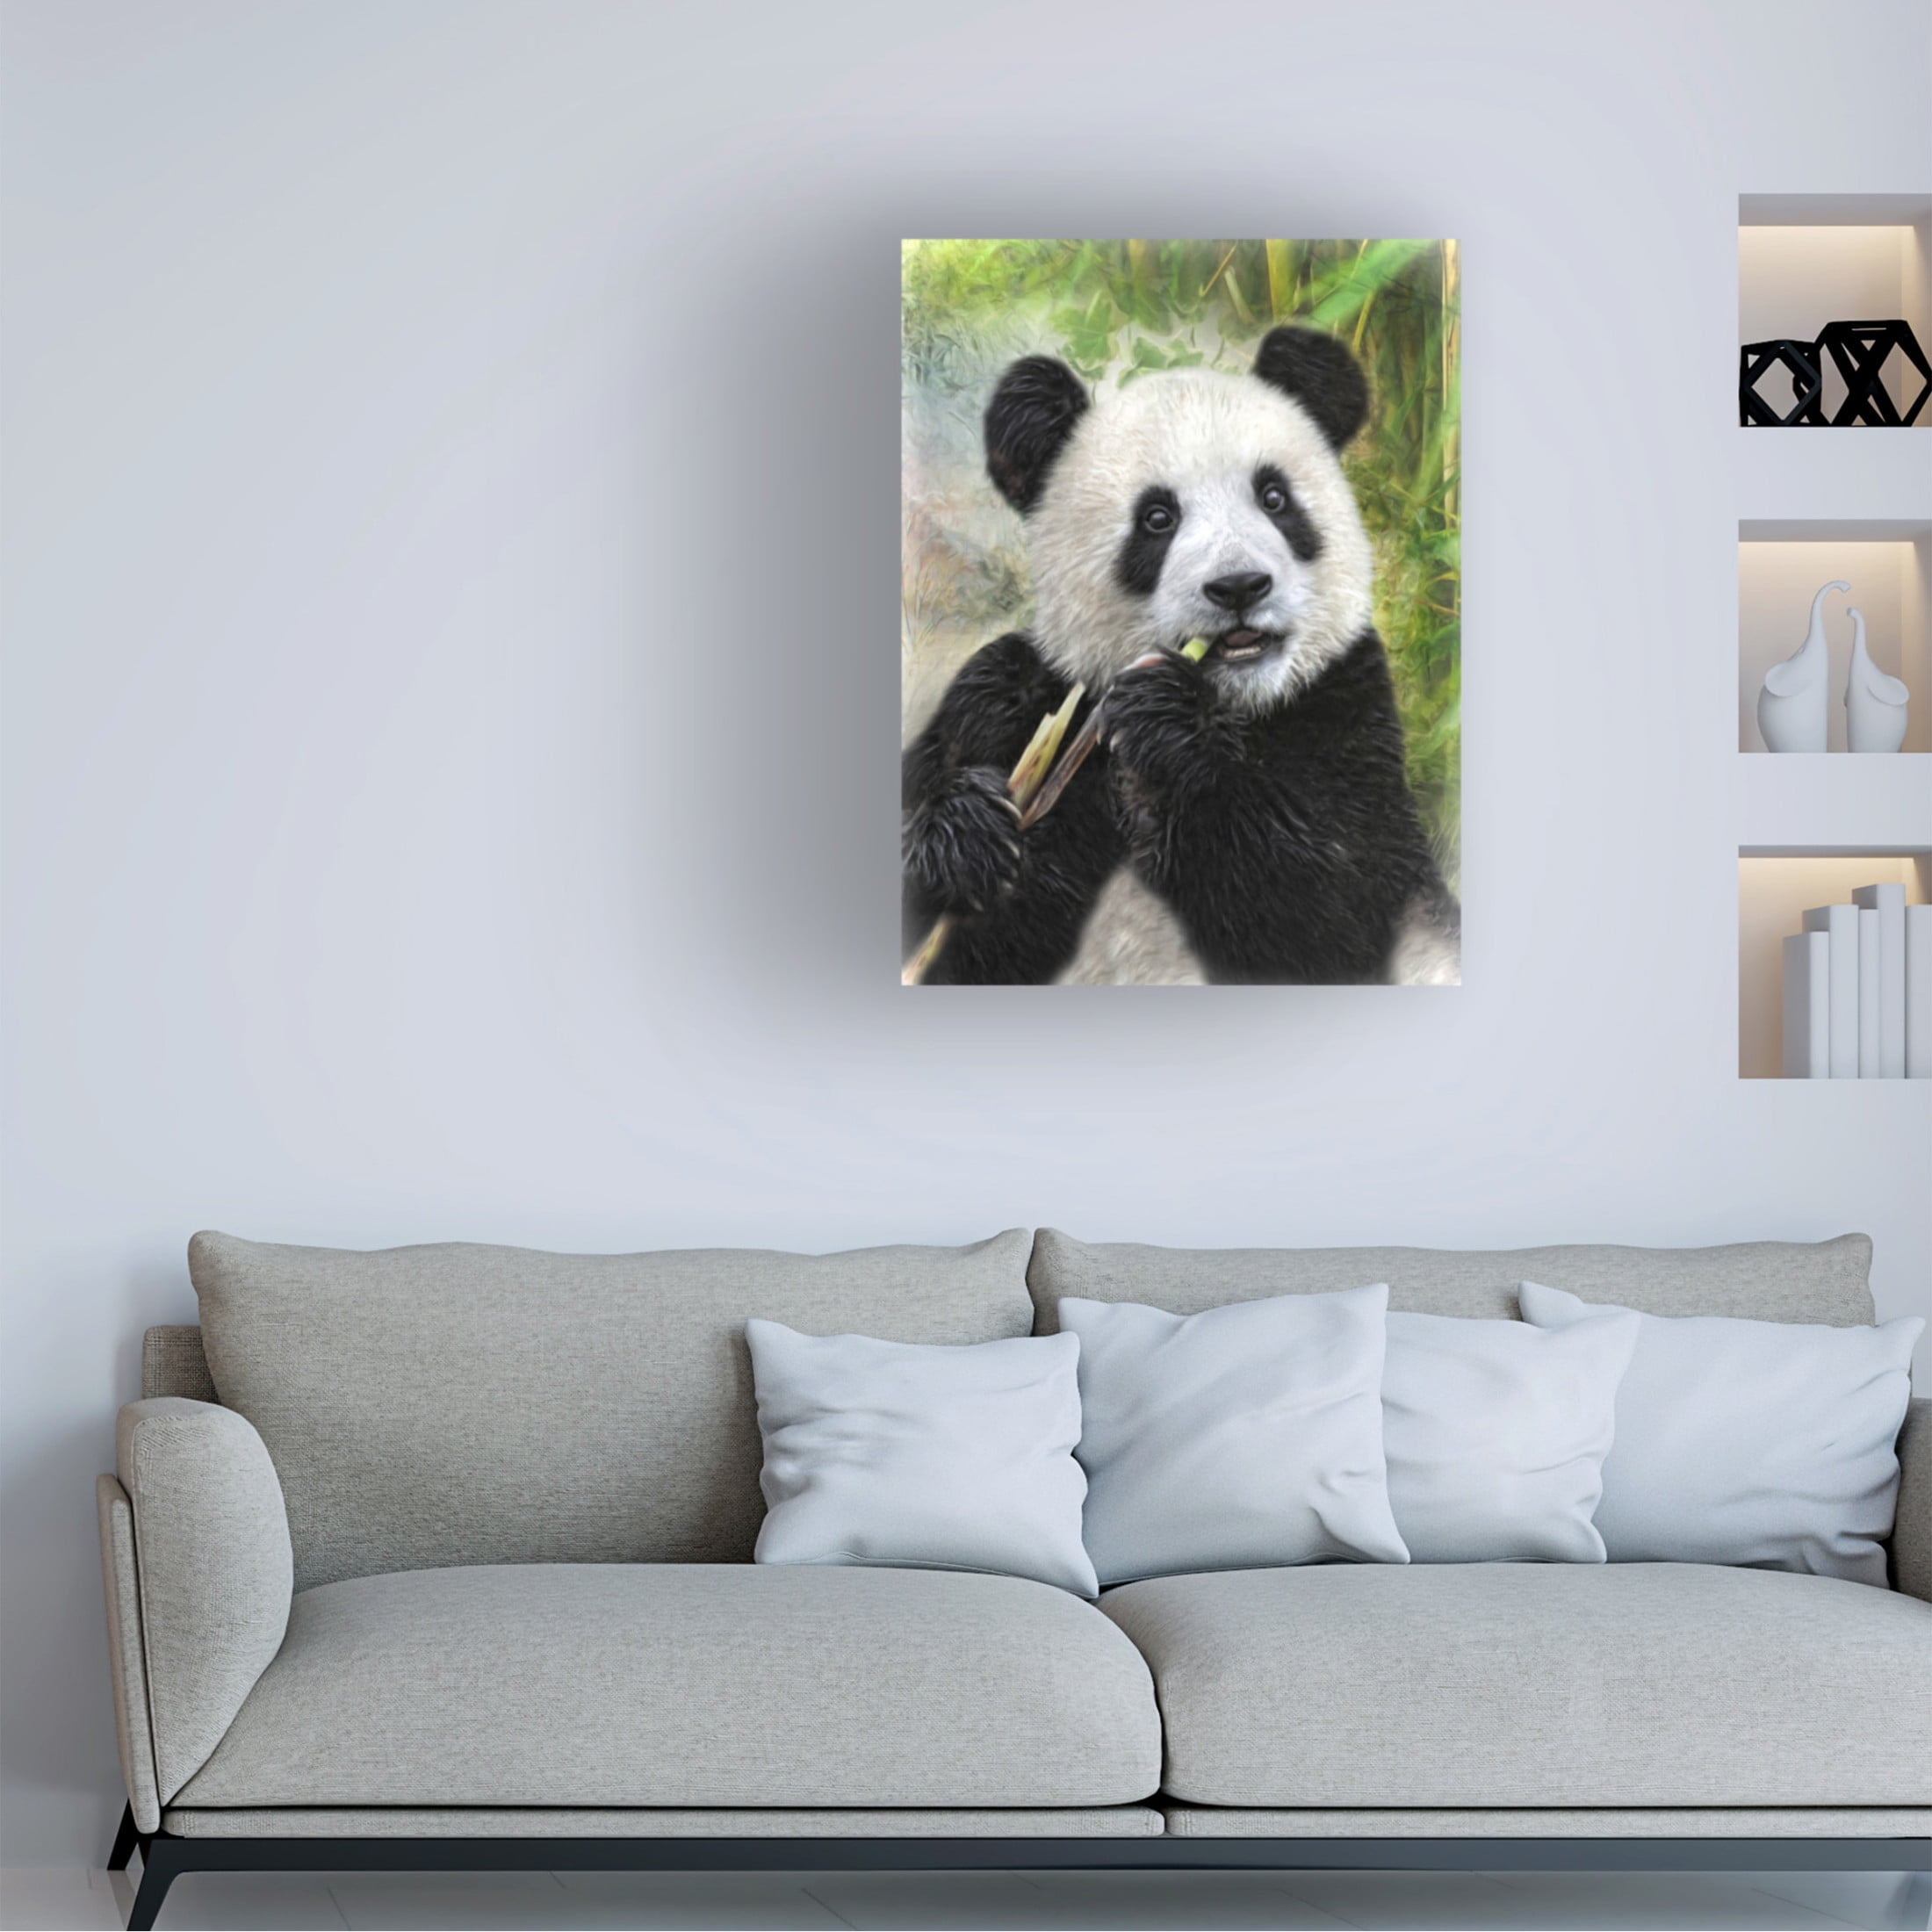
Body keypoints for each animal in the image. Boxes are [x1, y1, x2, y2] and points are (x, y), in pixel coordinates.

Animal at [903, 325, 1460, 987]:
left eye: (1274, 498)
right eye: (1157, 518)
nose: (1240, 586)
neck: (1235, 701)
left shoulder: (1347, 709)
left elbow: (1334, 902)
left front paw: (1167, 725)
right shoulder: (1015, 708)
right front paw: (964, 833)